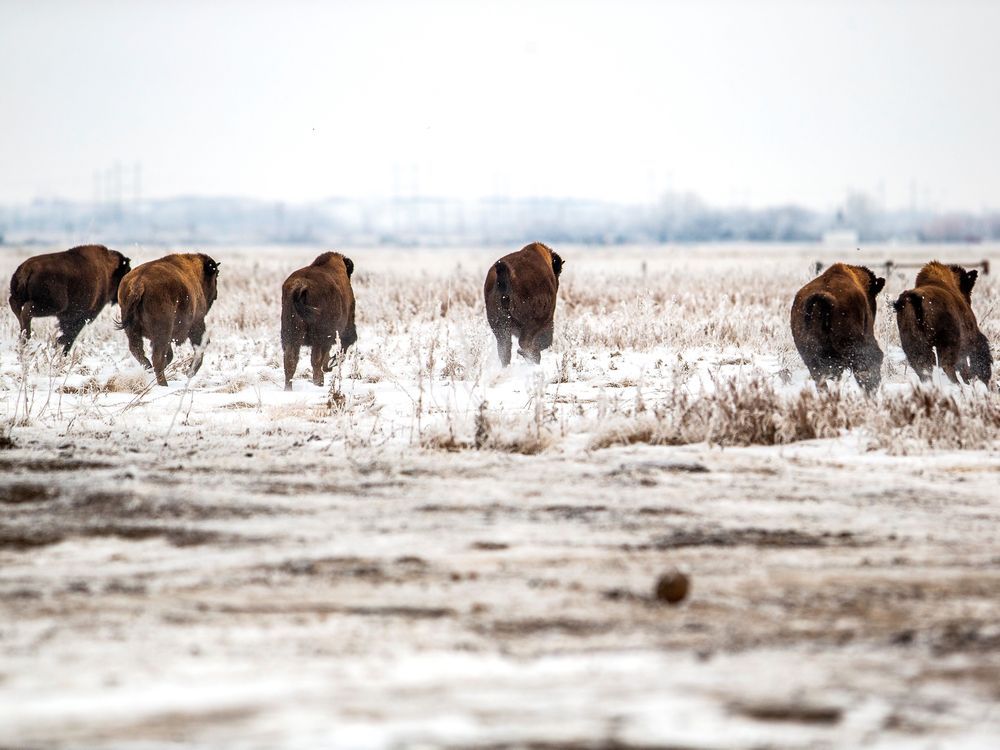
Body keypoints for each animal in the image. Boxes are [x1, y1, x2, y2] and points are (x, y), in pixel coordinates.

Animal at [116, 256, 220, 390]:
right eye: (216, 275)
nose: (216, 294)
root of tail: (138, 284)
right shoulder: (197, 323)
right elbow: (201, 346)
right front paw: (189, 372)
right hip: (162, 333)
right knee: (158, 357)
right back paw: (164, 384)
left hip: (133, 331)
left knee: (137, 349)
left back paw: (149, 368)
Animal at [280, 254, 358, 394]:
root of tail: (301, 286)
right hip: (319, 337)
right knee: (315, 359)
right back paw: (319, 381)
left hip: (290, 336)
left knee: (290, 361)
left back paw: (288, 388)